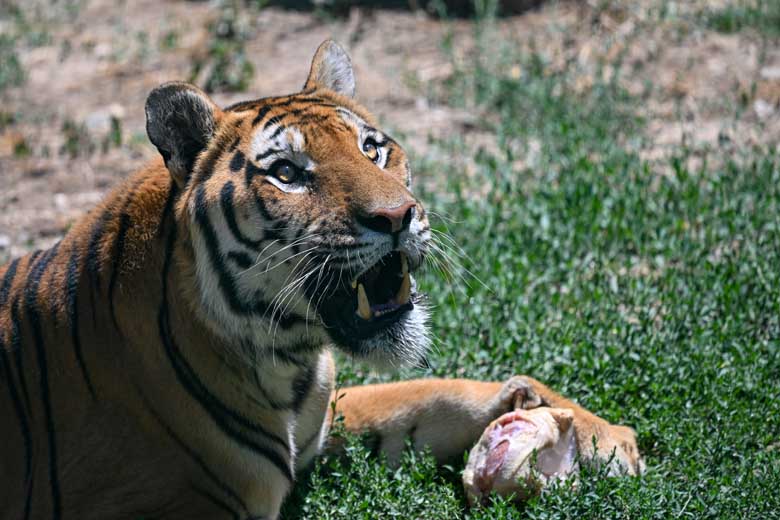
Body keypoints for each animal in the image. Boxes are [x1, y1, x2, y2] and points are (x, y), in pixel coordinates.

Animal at [0, 41, 644, 520]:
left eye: (372, 149)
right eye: (287, 173)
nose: (398, 216)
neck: (286, 363)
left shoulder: (326, 415)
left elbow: (431, 394)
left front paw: (597, 434)